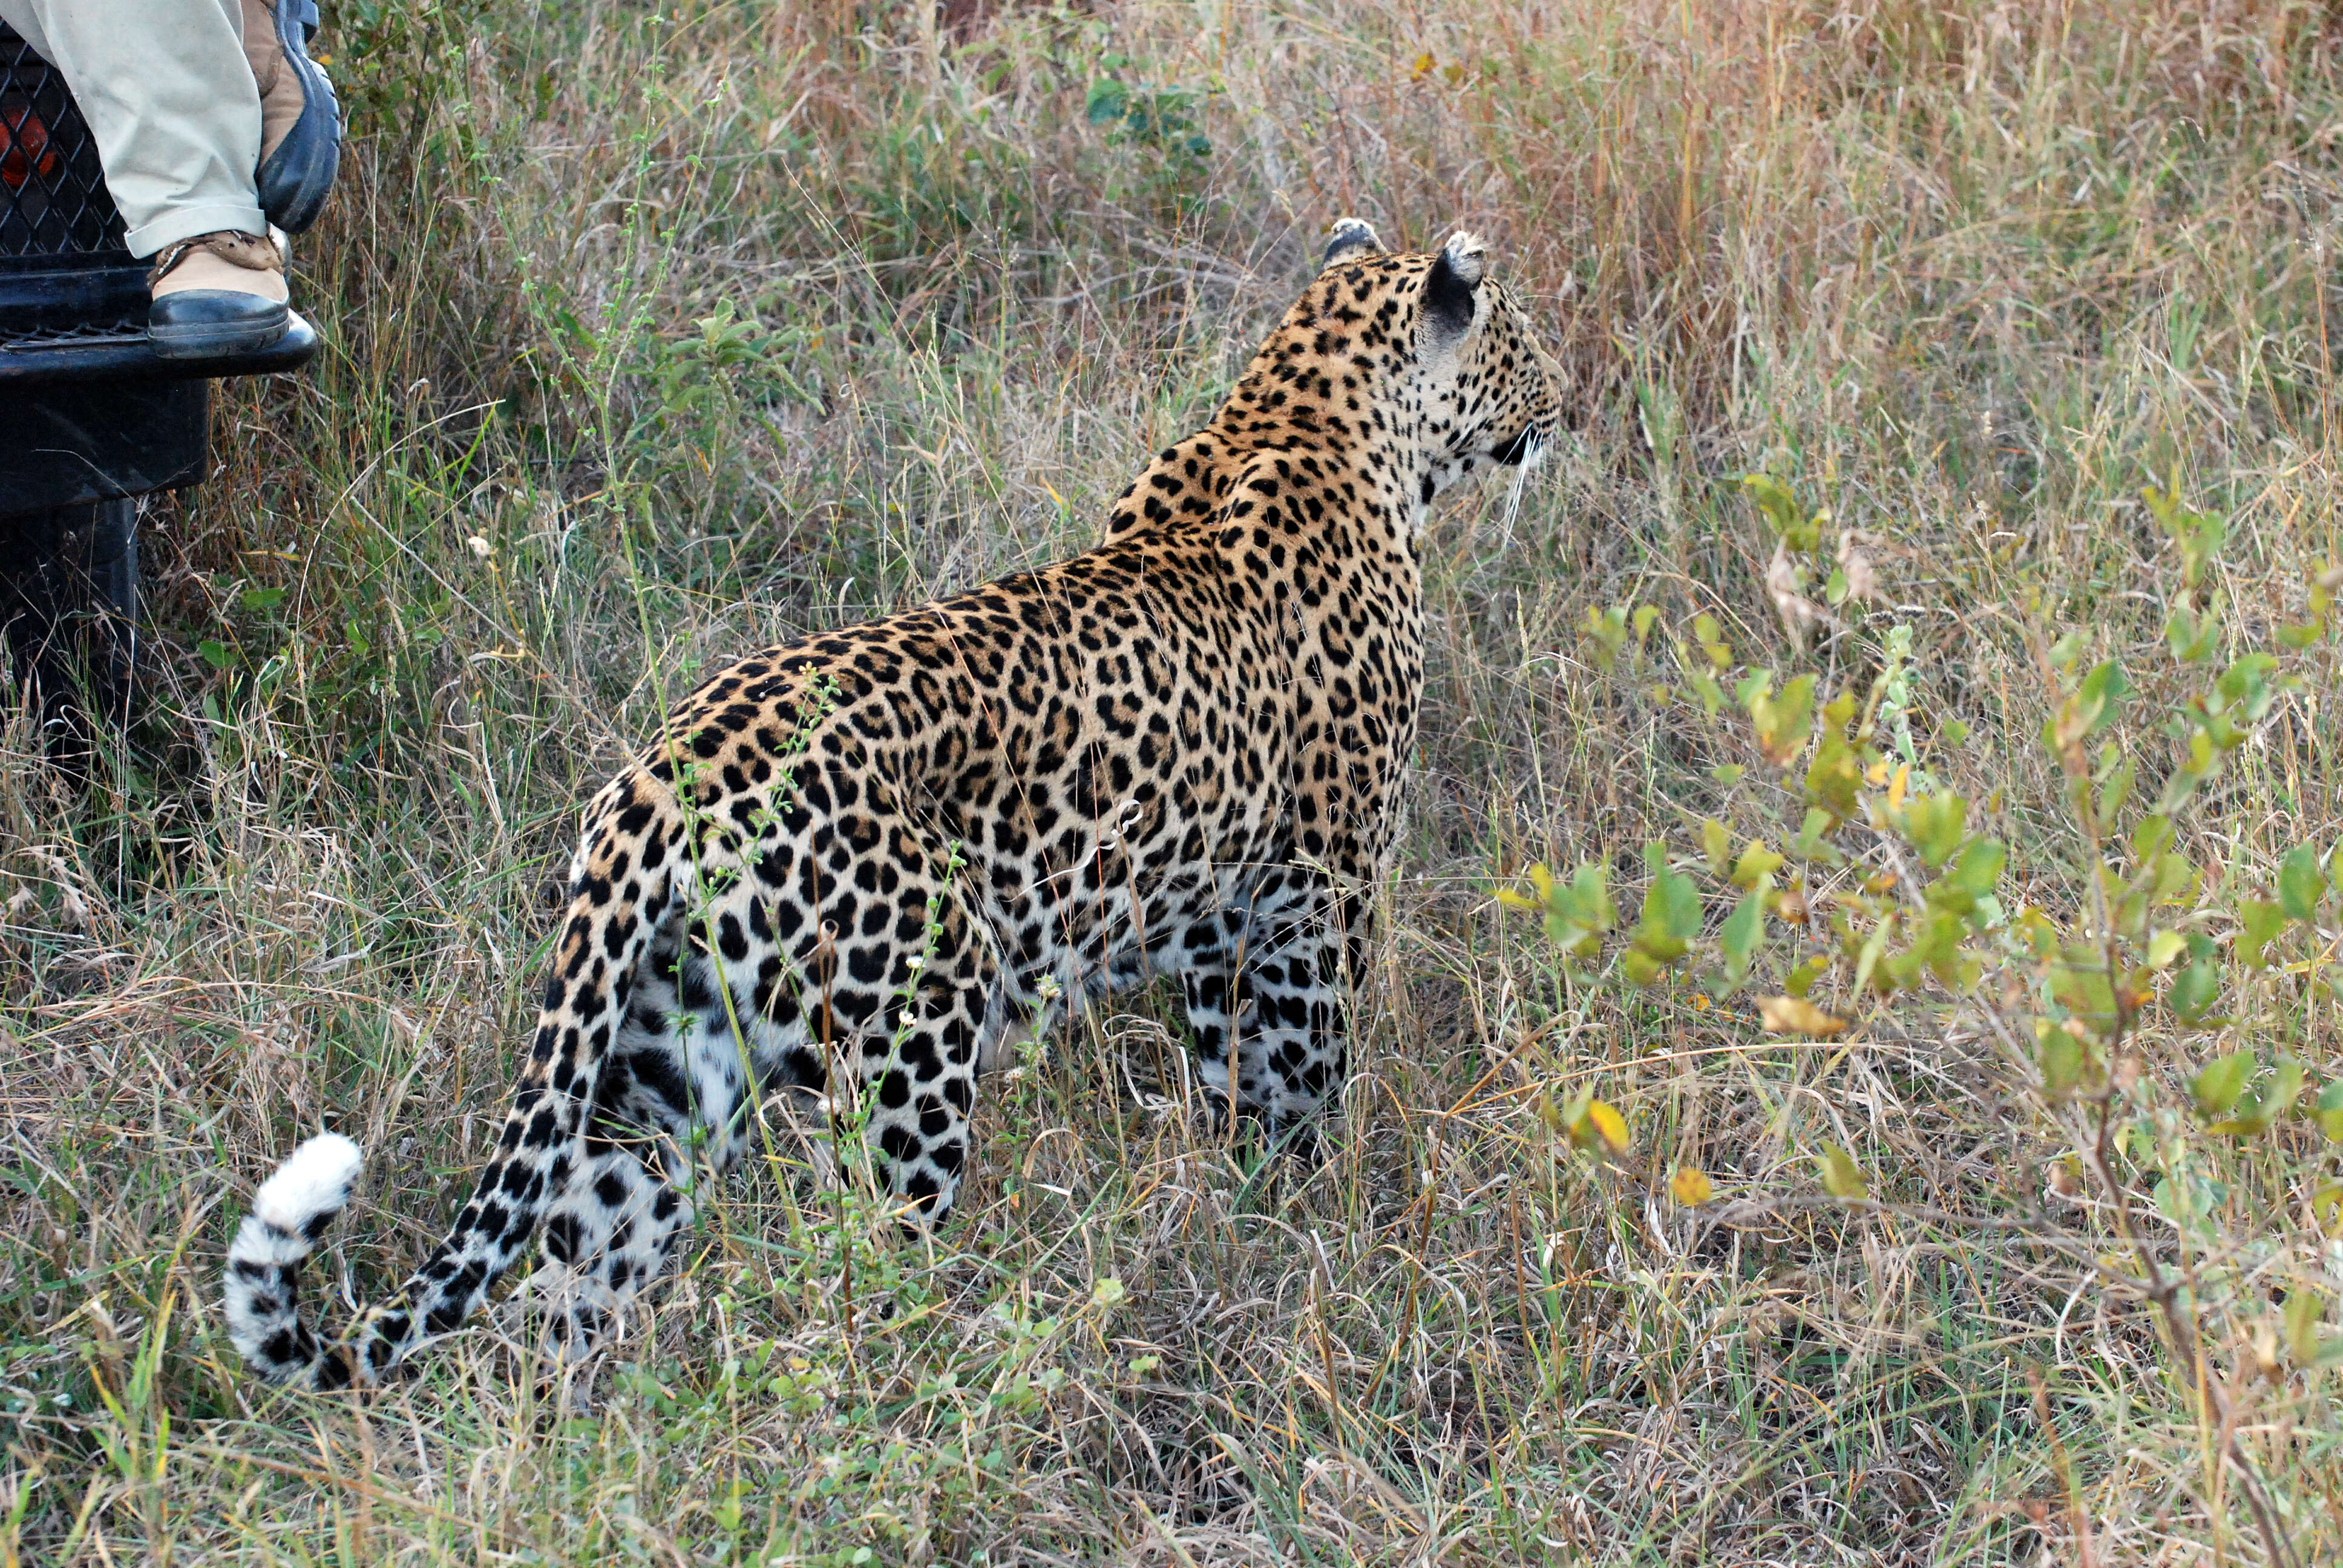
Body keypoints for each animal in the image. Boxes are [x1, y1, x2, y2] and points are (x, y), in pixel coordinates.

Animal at [228, 220, 1565, 1378]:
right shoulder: (1318, 894)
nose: (1571, 395)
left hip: (660, 1077)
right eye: (1526, 340)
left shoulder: (1216, 917)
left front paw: (1248, 1206)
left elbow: (1231, 1076)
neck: (1309, 414)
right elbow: (1307, 1075)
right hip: (914, 1041)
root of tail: (661, 776)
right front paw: (1313, 1215)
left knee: (559, 1303)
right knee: (853, 1281)